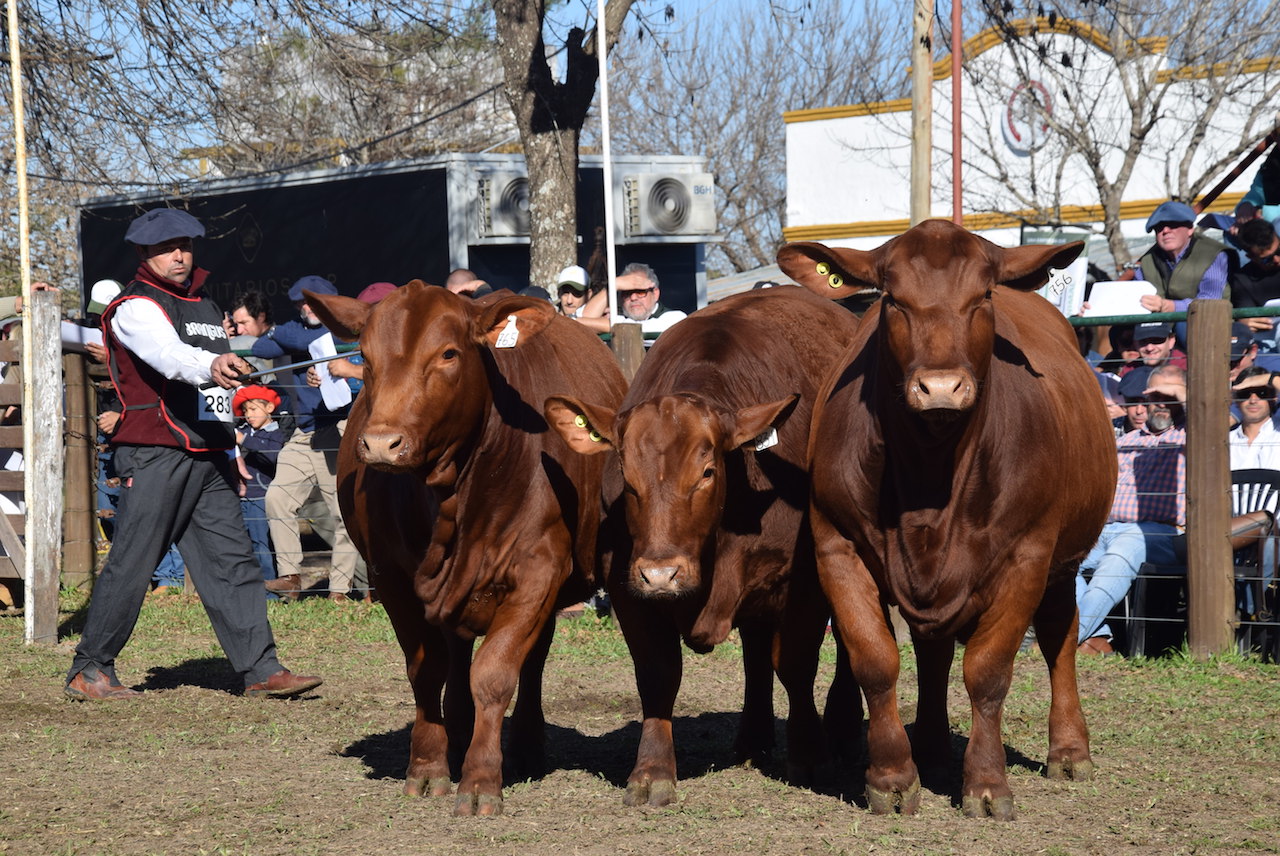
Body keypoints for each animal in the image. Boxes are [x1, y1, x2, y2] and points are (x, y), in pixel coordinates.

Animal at [309, 281, 629, 813]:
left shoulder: (538, 571)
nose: (381, 444)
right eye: (366, 358)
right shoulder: (390, 577)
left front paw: (481, 779)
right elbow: (426, 671)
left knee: (531, 660)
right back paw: (458, 734)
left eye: (448, 353)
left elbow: (495, 673)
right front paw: (428, 765)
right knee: (456, 656)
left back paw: (523, 746)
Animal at [545, 285, 865, 803]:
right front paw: (653, 770)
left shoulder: (804, 583)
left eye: (707, 472)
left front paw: (810, 754)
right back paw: (753, 737)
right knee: (755, 652)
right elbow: (658, 675)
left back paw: (843, 728)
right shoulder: (628, 590)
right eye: (627, 479)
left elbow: (796, 664)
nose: (661, 574)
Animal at [773, 222, 1116, 818]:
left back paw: (1070, 750)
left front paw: (987, 784)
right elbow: (876, 660)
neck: (931, 477)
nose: (939, 388)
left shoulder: (1027, 556)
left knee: (1060, 635)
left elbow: (988, 671)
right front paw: (892, 777)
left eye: (982, 296)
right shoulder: (835, 545)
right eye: (893, 299)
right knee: (932, 650)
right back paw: (931, 748)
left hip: (1065, 560)